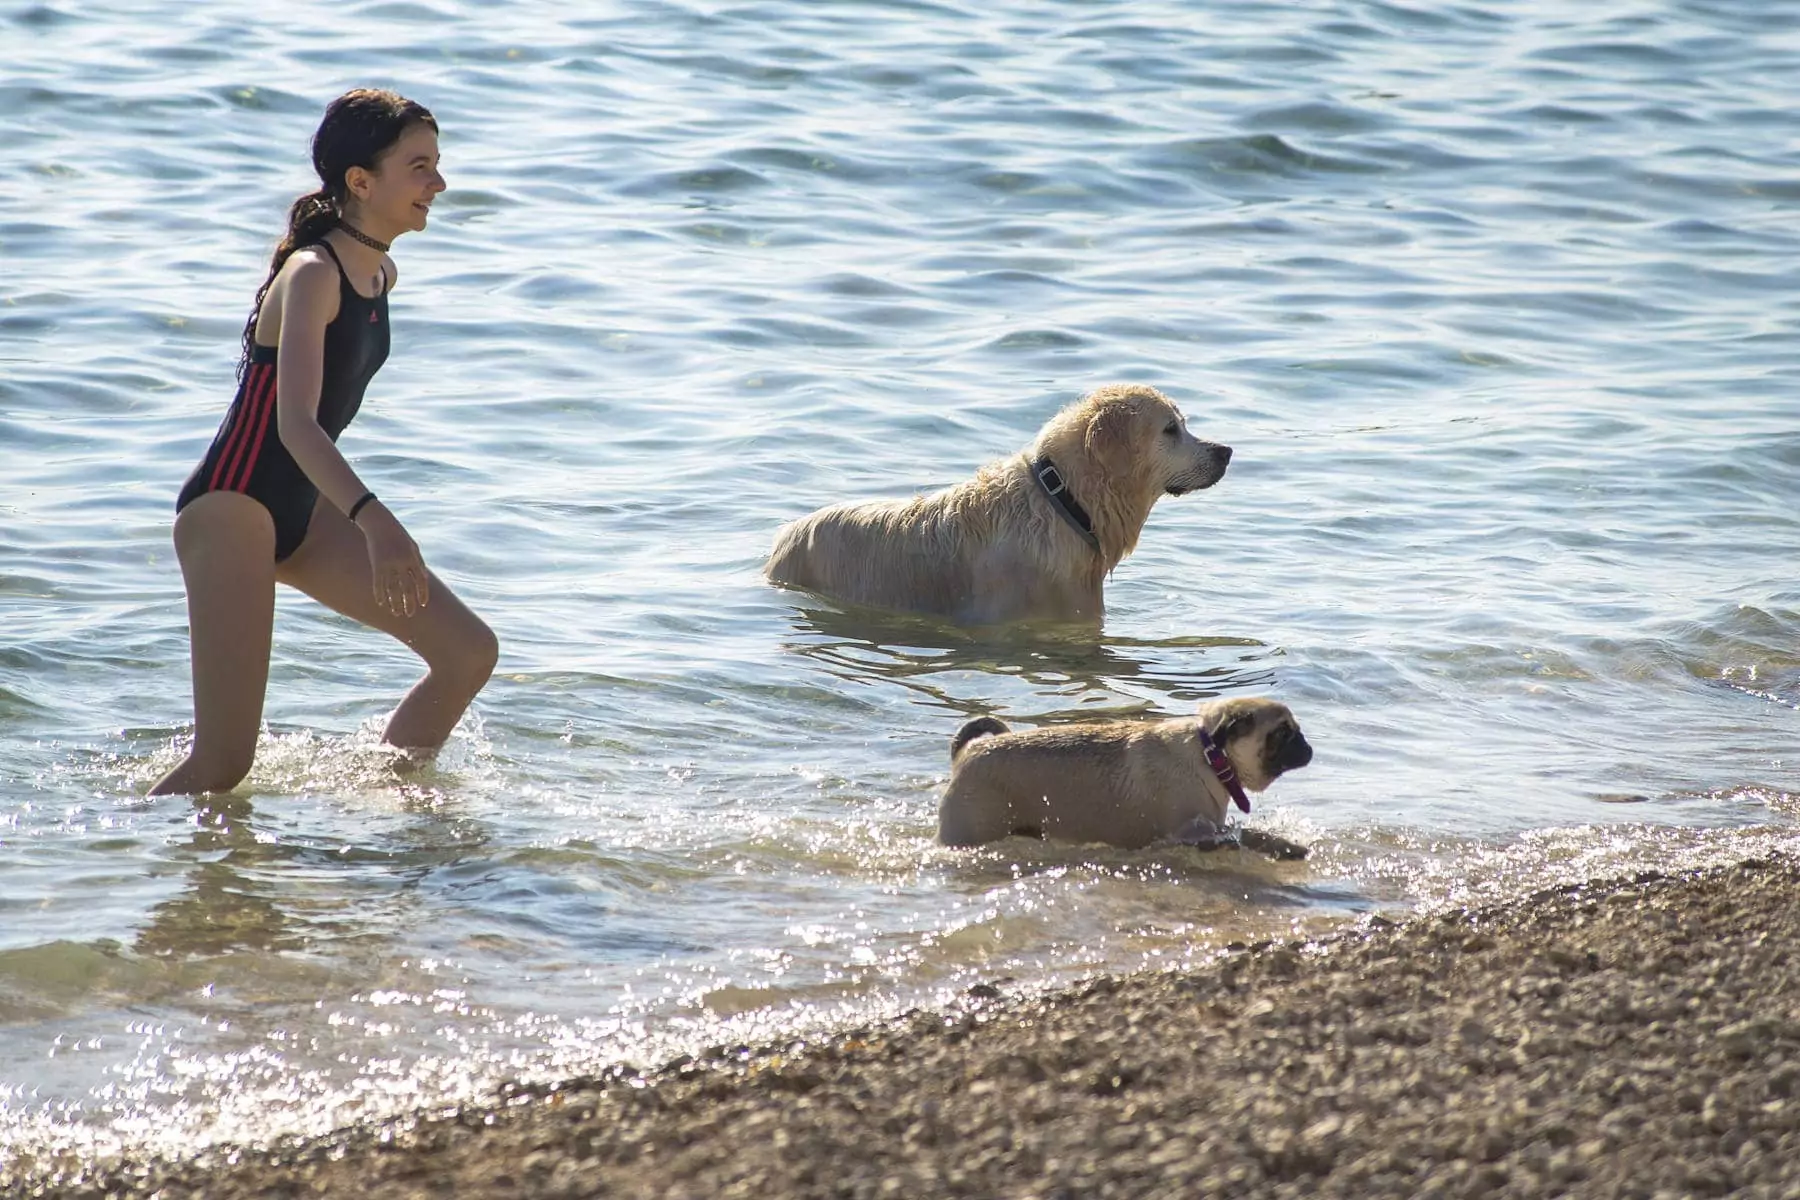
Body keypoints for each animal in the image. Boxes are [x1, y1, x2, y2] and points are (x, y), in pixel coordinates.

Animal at [943, 698, 1310, 859]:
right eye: (1282, 733)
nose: (1307, 747)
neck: (1211, 755)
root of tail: (969, 751)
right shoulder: (1192, 832)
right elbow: (1248, 835)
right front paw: (1284, 845)